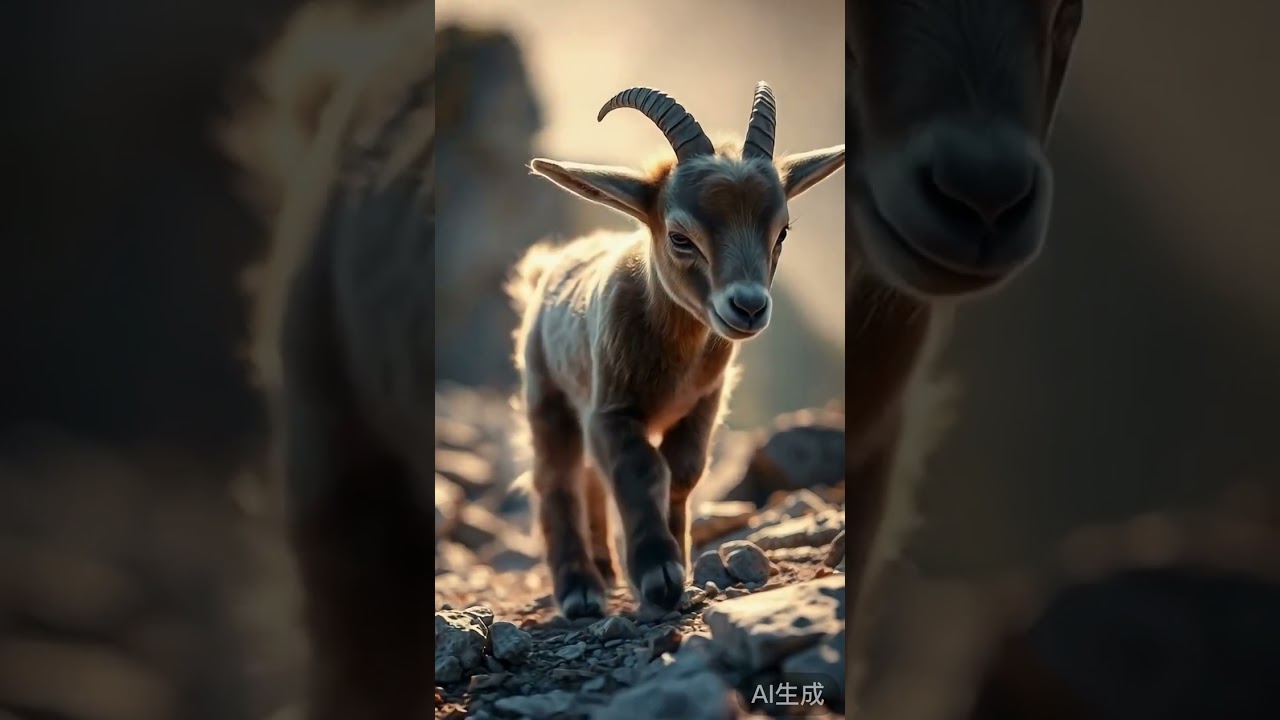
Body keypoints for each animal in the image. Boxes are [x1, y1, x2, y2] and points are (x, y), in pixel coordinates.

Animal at [509, 84, 845, 617]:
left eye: (782, 232)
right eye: (681, 237)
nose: (748, 306)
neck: (674, 357)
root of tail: (545, 271)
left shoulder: (704, 401)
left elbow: (683, 469)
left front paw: (675, 561)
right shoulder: (610, 411)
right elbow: (641, 466)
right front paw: (656, 572)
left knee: (588, 477)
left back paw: (603, 567)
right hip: (548, 395)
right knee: (556, 477)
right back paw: (580, 588)